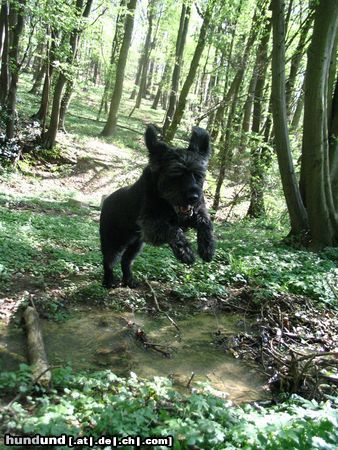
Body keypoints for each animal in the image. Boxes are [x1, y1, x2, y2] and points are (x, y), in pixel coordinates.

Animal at [99, 125, 214, 286]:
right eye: (175, 175)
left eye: (198, 174)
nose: (193, 198)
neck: (167, 204)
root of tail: (106, 200)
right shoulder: (150, 224)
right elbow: (174, 230)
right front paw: (186, 253)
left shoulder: (196, 212)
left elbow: (205, 223)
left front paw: (207, 248)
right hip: (114, 242)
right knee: (108, 261)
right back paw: (108, 281)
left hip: (136, 244)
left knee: (126, 261)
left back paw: (129, 280)